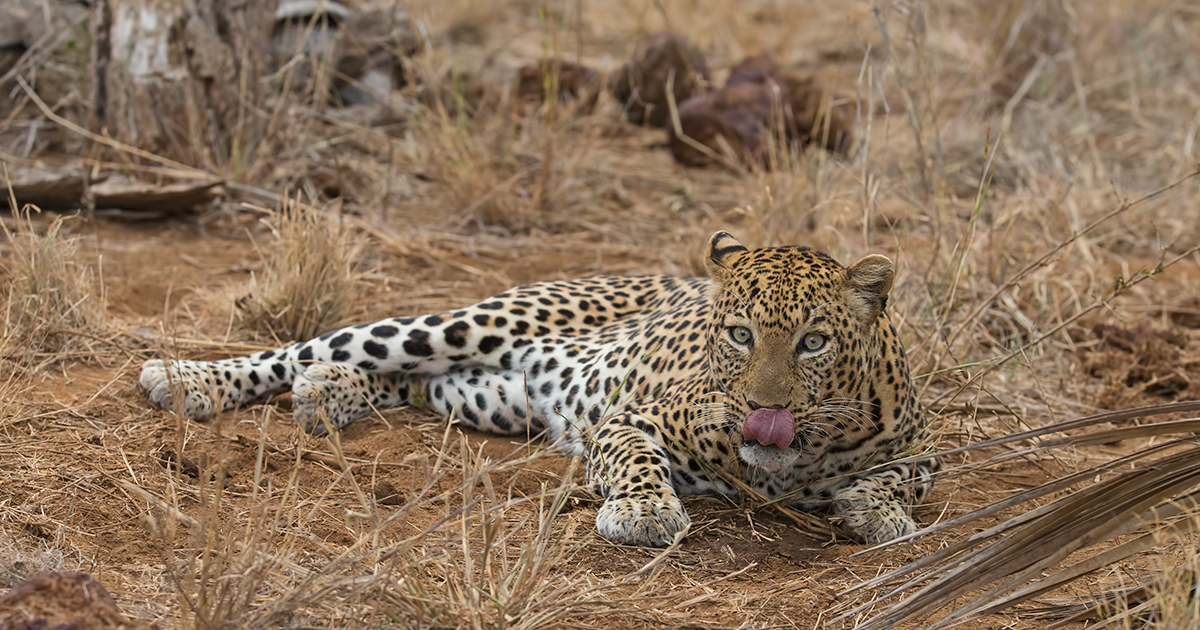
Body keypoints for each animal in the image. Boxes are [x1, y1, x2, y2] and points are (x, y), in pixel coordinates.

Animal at [139, 231, 938, 547]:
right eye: (739, 334)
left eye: (813, 343)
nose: (765, 408)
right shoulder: (634, 420)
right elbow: (638, 463)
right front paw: (645, 513)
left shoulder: (925, 446)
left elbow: (905, 475)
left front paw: (876, 510)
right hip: (472, 322)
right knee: (322, 345)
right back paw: (186, 379)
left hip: (487, 394)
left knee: (406, 383)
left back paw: (327, 394)